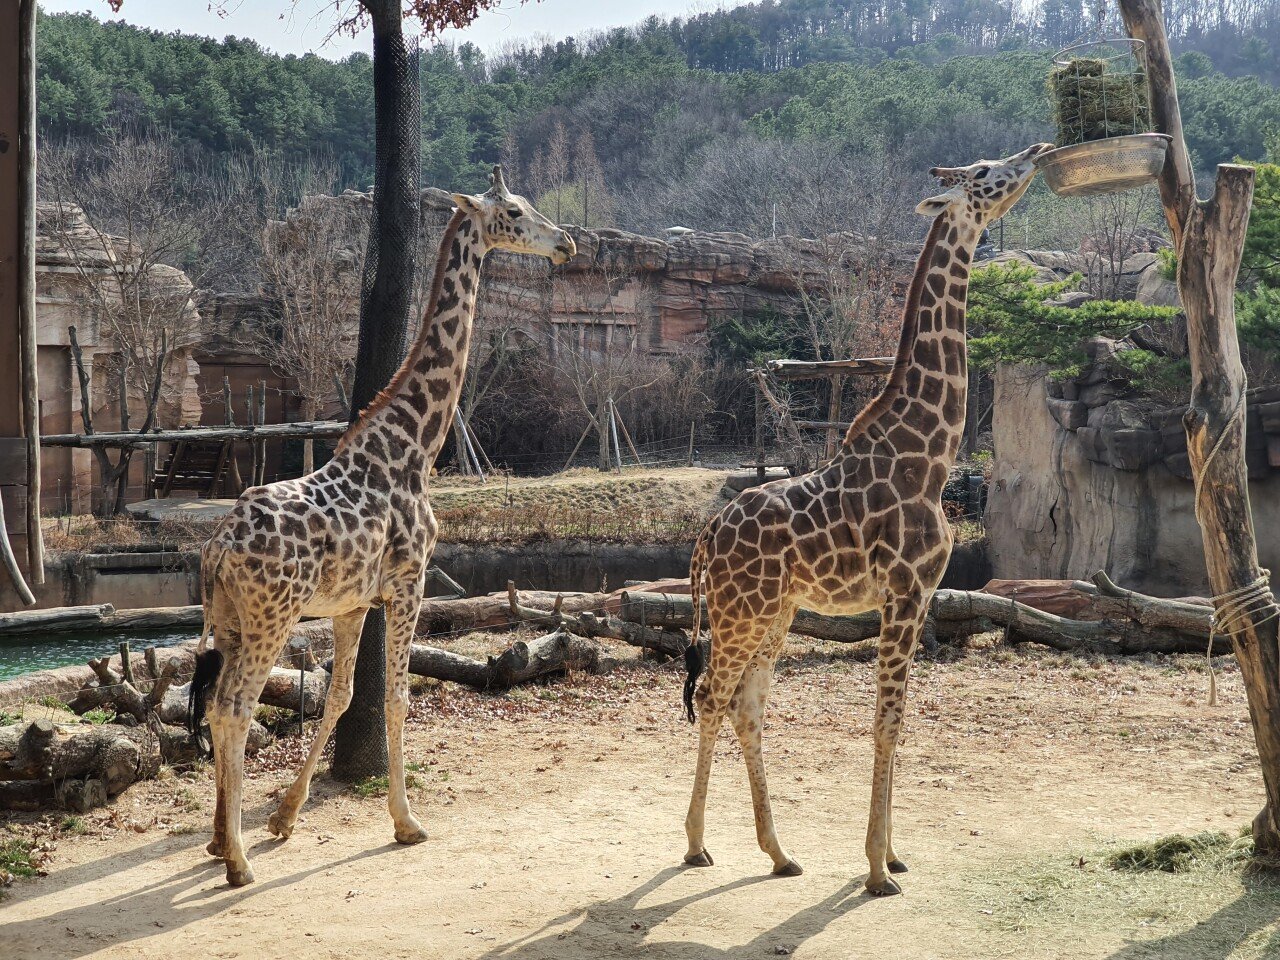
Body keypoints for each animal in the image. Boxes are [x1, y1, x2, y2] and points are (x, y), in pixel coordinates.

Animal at [186, 167, 573, 896]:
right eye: (514, 212)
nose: (564, 243)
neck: (417, 444)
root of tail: (217, 551)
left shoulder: (353, 602)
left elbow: (338, 697)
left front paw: (285, 815)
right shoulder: (410, 580)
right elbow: (395, 697)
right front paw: (406, 822)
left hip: (228, 619)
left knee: (219, 703)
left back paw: (222, 838)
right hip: (273, 616)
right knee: (233, 707)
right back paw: (239, 863)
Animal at [680, 144, 1049, 901]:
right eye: (985, 172)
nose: (1038, 151)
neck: (929, 454)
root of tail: (706, 536)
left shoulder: (921, 595)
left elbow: (900, 721)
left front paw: (895, 854)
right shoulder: (904, 591)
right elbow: (886, 723)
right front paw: (877, 869)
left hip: (775, 614)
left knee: (745, 707)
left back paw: (779, 853)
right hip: (740, 614)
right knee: (711, 695)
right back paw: (698, 844)